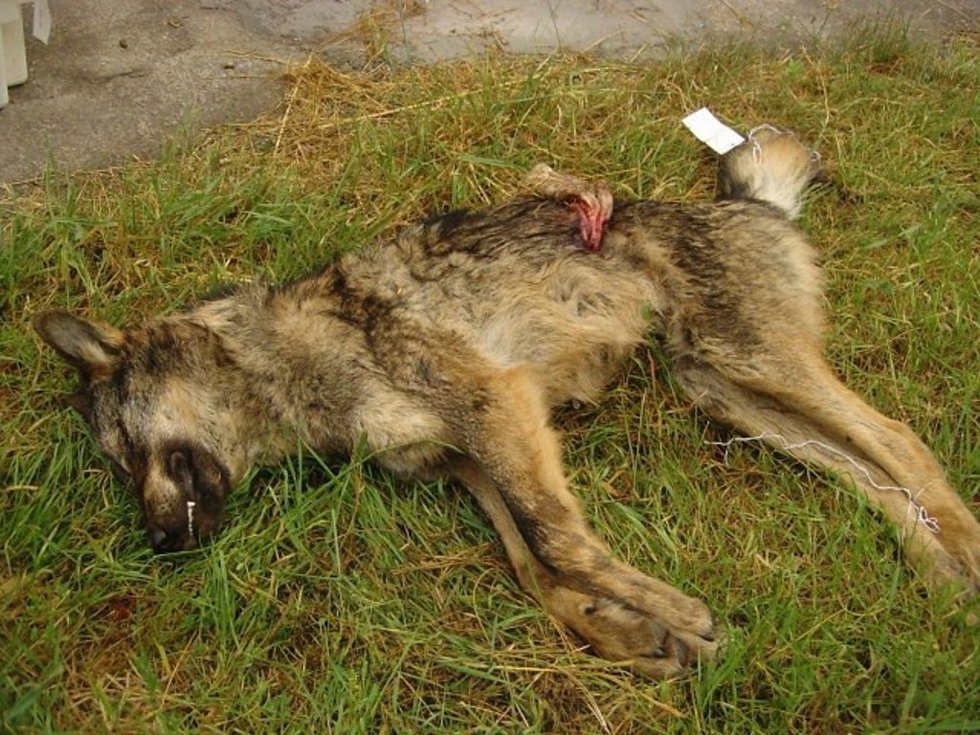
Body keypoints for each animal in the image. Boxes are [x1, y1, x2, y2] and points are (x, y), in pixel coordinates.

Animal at [34, 128, 980, 677]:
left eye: (126, 453)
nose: (158, 544)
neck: (290, 359)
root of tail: (745, 205)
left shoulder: (500, 409)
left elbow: (559, 542)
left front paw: (671, 610)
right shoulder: (466, 463)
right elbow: (533, 569)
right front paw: (631, 632)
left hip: (752, 361)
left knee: (903, 441)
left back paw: (964, 552)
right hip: (724, 391)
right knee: (869, 472)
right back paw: (936, 571)